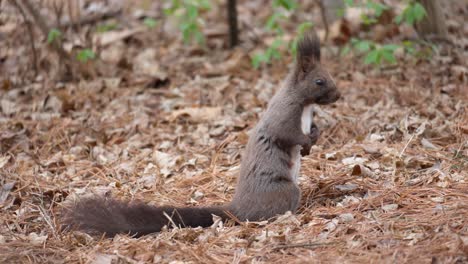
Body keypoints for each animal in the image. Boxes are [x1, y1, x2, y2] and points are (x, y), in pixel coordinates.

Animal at [63, 31, 340, 237]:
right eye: (319, 81)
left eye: (329, 76)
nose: (338, 95)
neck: (305, 105)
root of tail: (237, 209)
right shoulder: (283, 114)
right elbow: (284, 133)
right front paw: (306, 141)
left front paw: (314, 137)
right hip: (282, 191)